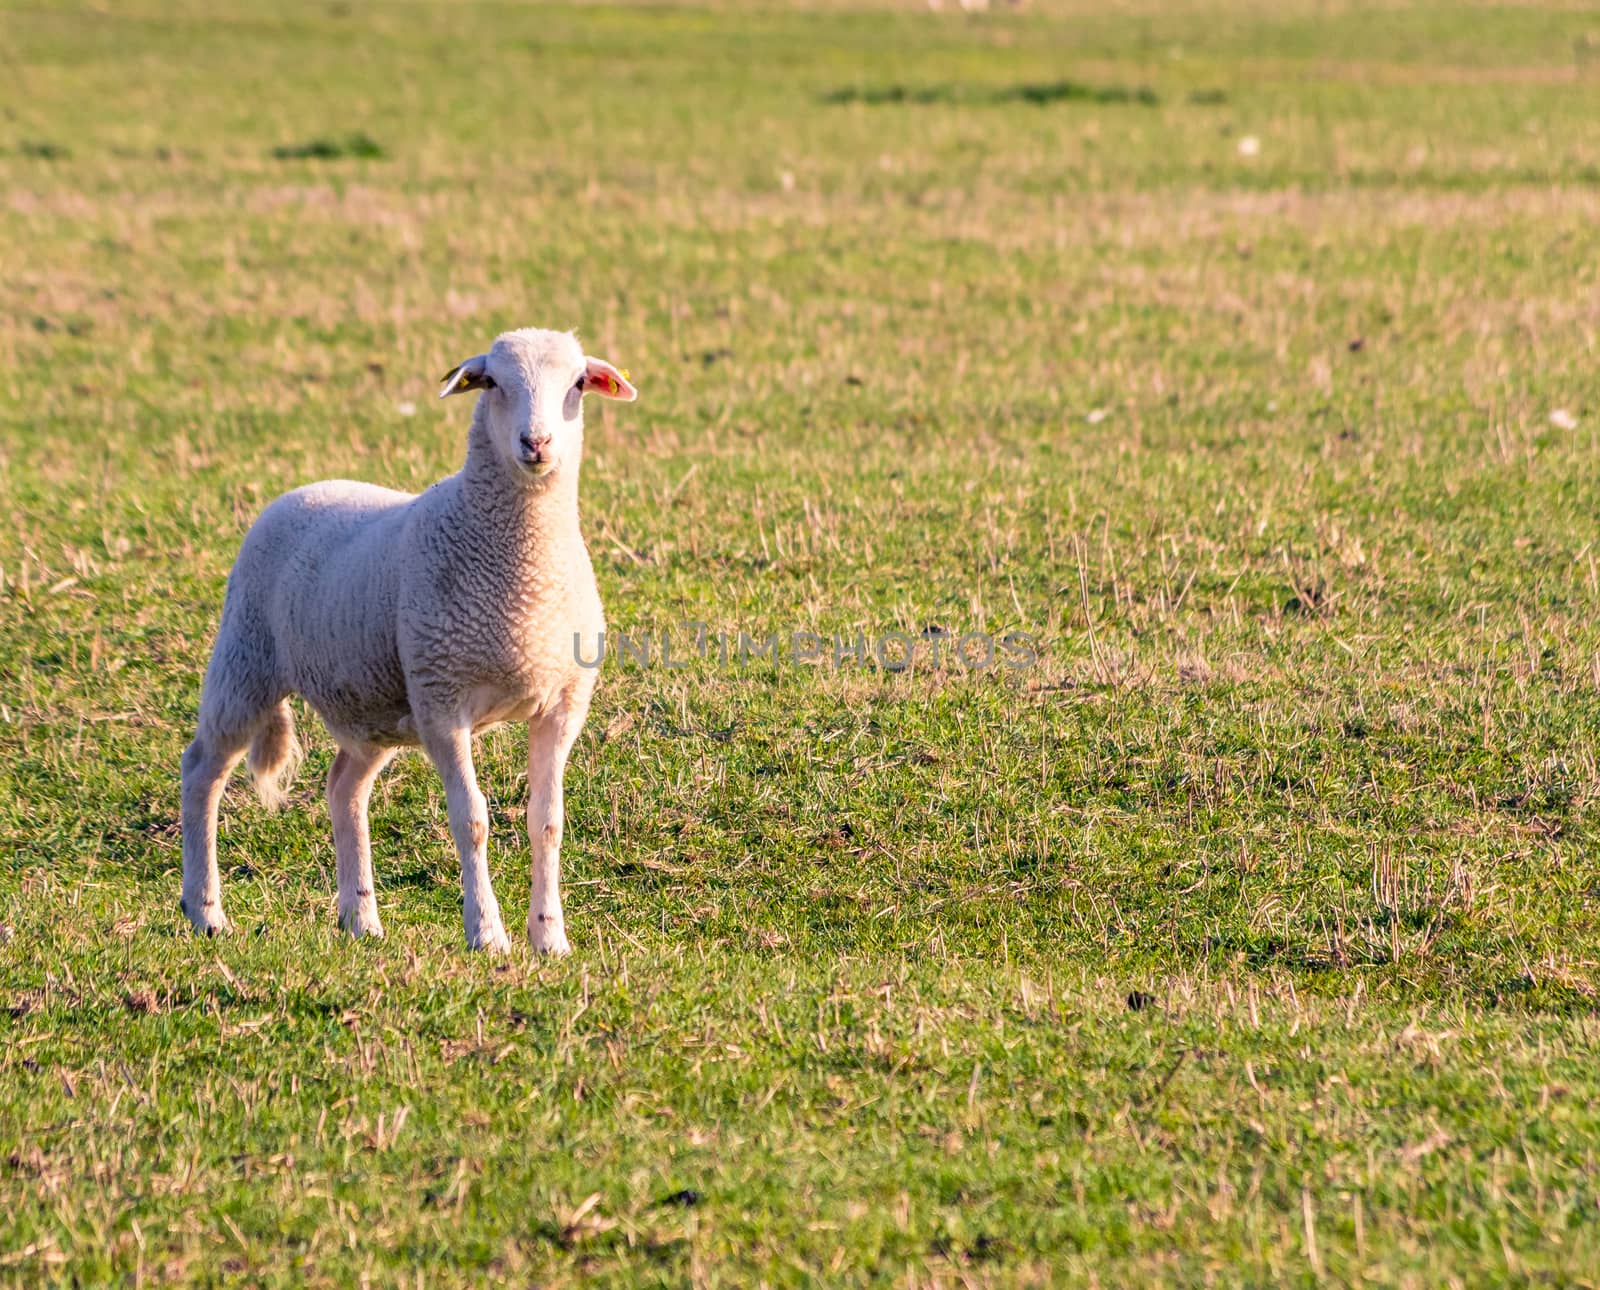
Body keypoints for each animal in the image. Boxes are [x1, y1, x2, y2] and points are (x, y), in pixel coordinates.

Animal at [180, 328, 636, 953]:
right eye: (493, 383)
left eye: (576, 385)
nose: (536, 442)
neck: (524, 572)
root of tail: (304, 490)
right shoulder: (442, 700)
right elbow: (472, 820)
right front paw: (487, 933)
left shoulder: (562, 703)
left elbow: (547, 821)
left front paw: (550, 938)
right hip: (245, 659)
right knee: (202, 771)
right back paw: (205, 911)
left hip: (370, 706)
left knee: (344, 790)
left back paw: (360, 919)